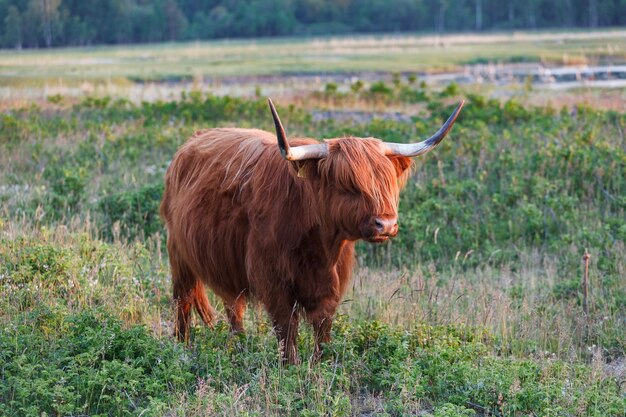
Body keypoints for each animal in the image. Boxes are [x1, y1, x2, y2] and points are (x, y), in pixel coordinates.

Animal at [161, 99, 464, 362]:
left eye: (387, 181)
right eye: (348, 184)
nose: (386, 224)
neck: (319, 245)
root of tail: (188, 145)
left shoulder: (329, 285)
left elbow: (323, 327)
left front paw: (321, 362)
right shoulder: (273, 280)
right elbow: (287, 330)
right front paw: (290, 367)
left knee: (233, 306)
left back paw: (240, 347)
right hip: (179, 257)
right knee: (183, 302)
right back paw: (182, 348)